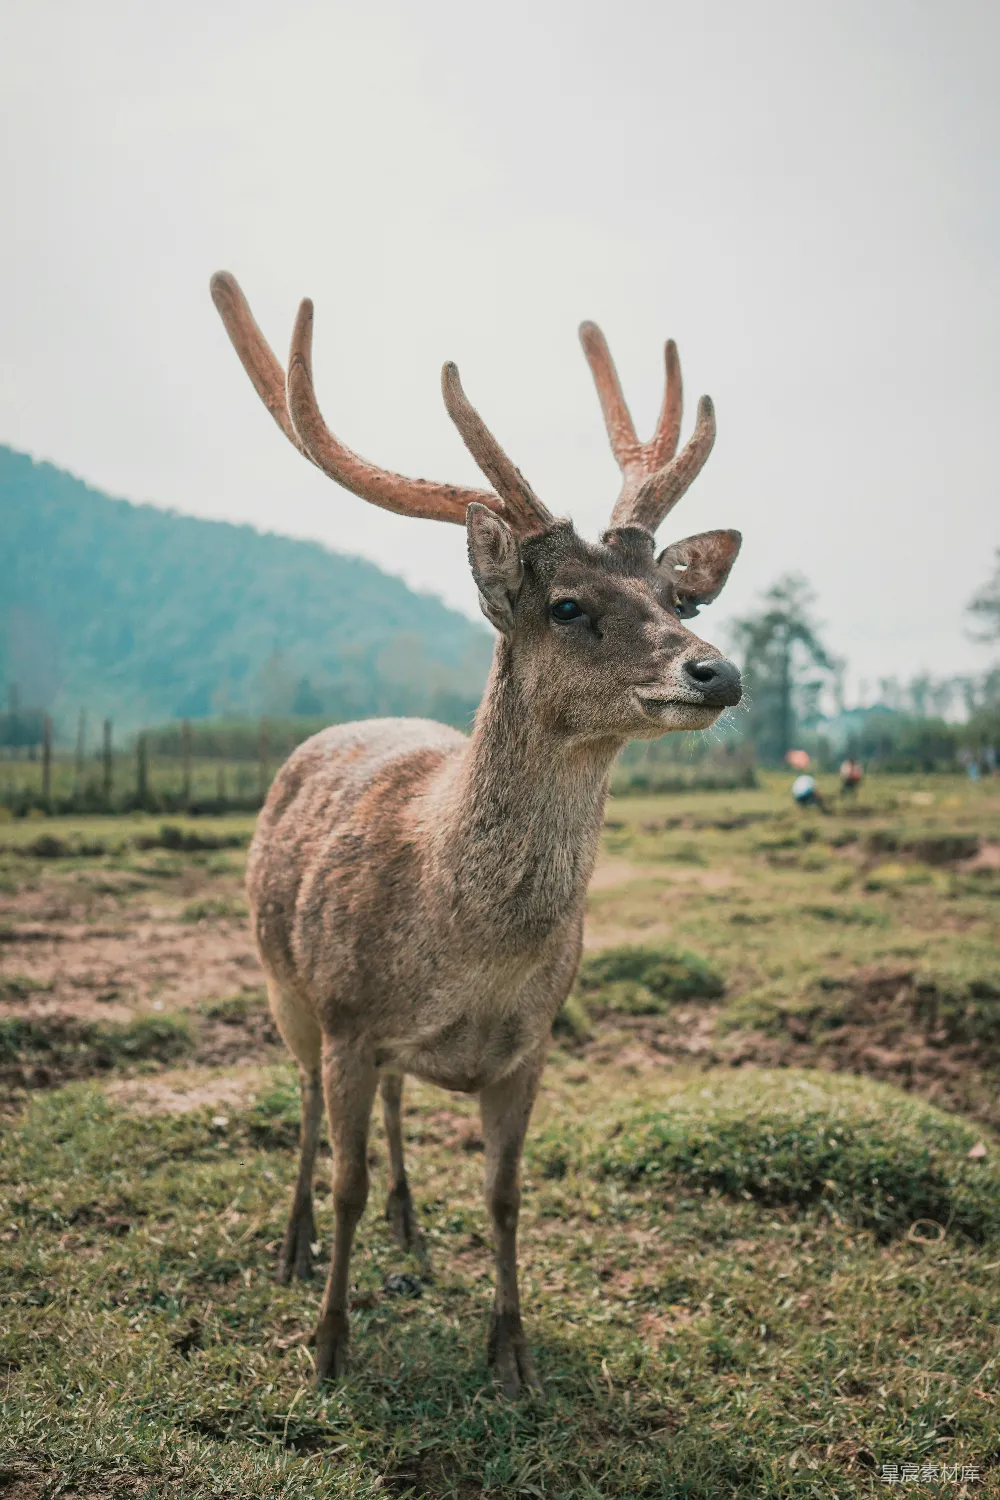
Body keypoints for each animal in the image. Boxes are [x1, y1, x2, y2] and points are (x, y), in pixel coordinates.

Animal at [209, 271, 743, 1395]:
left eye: (677, 596)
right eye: (568, 605)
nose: (716, 669)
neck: (469, 956)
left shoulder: (531, 1044)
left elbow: (504, 1196)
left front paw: (512, 1356)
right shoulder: (346, 1016)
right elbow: (344, 1182)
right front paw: (326, 1349)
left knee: (395, 1110)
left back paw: (412, 1233)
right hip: (284, 986)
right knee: (306, 1113)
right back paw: (293, 1249)